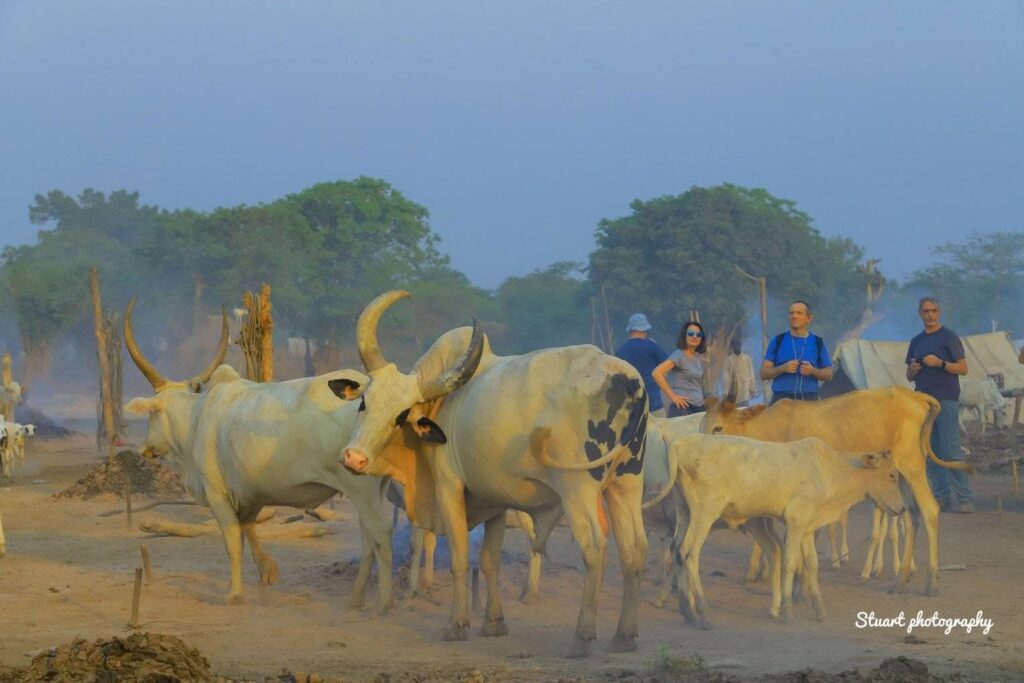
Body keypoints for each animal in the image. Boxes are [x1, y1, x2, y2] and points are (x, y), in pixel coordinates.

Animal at [122, 299, 399, 610]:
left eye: (152, 414)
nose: (146, 448)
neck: (196, 417)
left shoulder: (218, 494)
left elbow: (232, 543)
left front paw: (234, 593)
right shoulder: (249, 493)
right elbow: (248, 529)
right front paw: (267, 570)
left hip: (361, 488)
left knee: (381, 532)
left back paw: (384, 603)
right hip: (373, 490)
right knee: (367, 539)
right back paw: (355, 598)